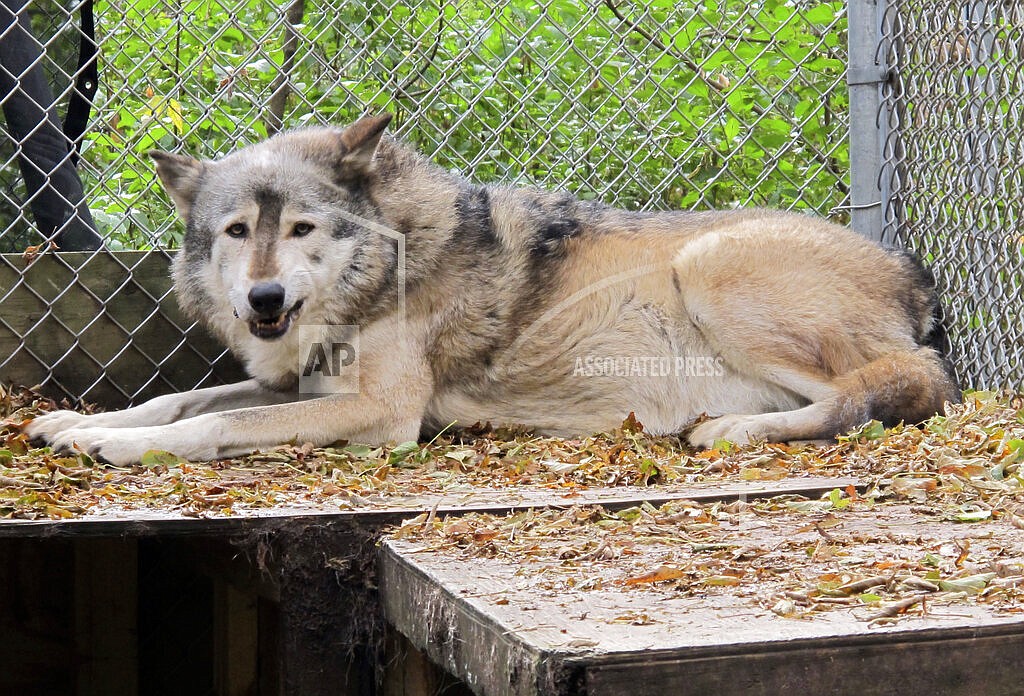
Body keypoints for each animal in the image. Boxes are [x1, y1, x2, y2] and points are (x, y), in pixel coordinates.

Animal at [28, 114, 962, 464]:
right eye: (235, 233)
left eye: (299, 230)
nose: (262, 301)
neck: (387, 267)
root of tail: (911, 270)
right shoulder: (301, 386)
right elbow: (179, 400)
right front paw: (77, 424)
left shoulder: (381, 414)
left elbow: (213, 421)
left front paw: (110, 444)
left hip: (711, 266)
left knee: (899, 386)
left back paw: (735, 428)